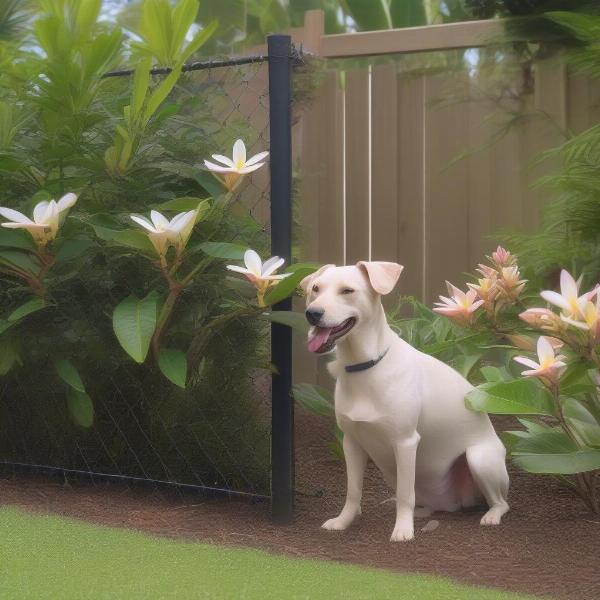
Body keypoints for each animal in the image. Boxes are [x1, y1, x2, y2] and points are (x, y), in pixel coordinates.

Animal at [302, 262, 508, 544]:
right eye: (315, 289)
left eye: (347, 290)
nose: (312, 313)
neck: (364, 367)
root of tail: (453, 502)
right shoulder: (351, 442)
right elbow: (353, 490)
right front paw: (343, 522)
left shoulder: (405, 442)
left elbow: (404, 494)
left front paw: (402, 530)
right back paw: (423, 512)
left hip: (479, 459)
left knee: (500, 502)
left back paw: (491, 516)